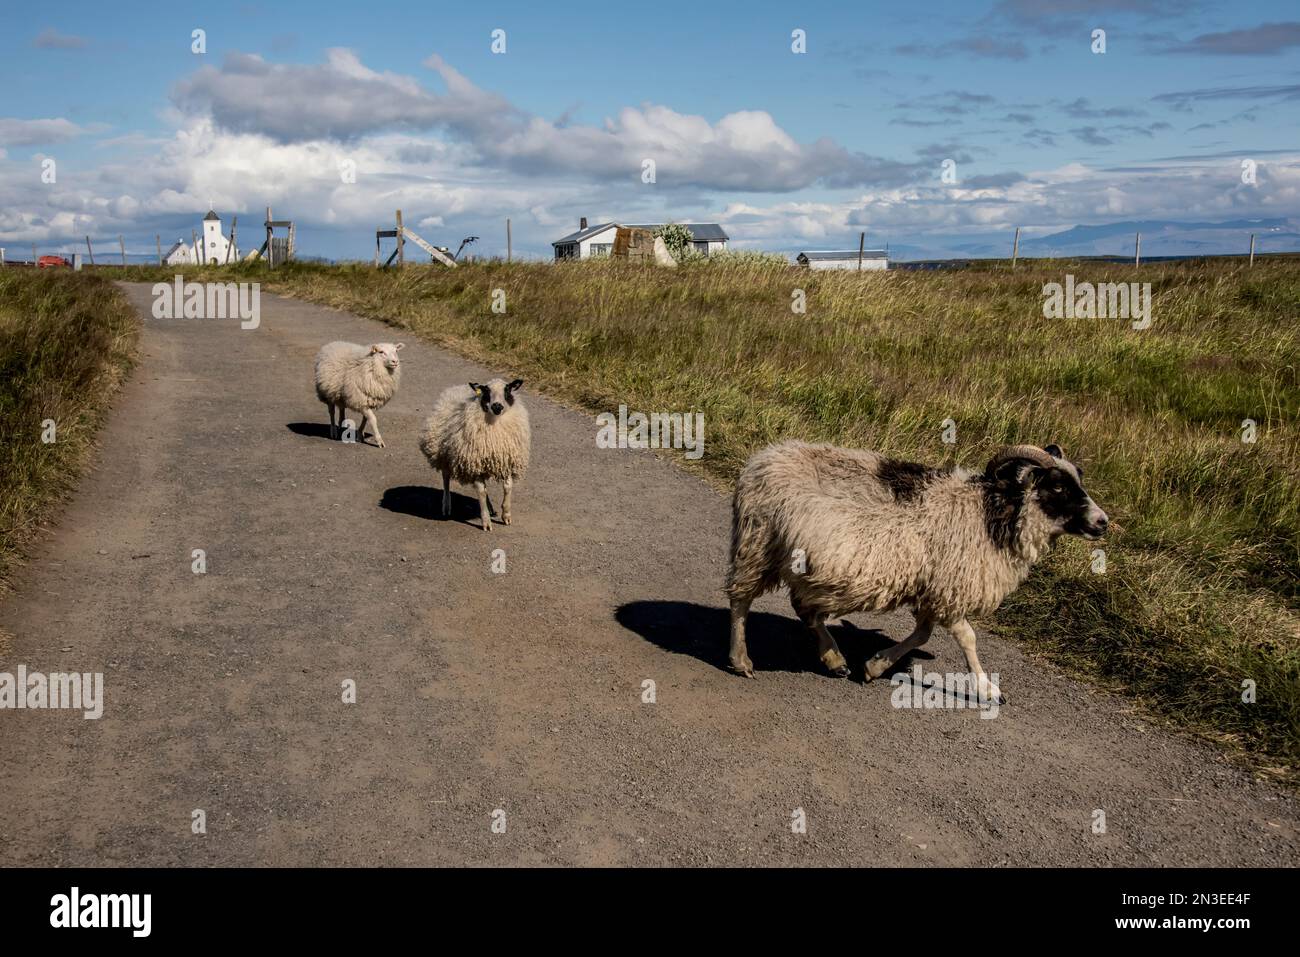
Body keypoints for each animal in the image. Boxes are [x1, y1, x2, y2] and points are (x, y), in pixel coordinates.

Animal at [421, 377, 533, 530]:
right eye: (486, 390)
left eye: (507, 389)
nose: (497, 407)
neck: (494, 423)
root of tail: (457, 387)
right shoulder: (474, 463)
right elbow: (480, 491)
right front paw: (486, 522)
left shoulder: (506, 461)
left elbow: (507, 487)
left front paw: (506, 515)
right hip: (444, 453)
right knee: (446, 478)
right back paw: (446, 506)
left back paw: (491, 508)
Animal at [722, 442, 1107, 702]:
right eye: (1057, 486)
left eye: (1079, 480)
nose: (1103, 522)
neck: (990, 514)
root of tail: (759, 461)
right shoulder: (951, 587)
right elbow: (968, 639)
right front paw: (988, 690)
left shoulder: (932, 590)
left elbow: (921, 635)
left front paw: (875, 666)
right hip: (759, 545)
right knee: (741, 601)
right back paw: (741, 660)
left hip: (804, 564)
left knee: (804, 609)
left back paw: (835, 659)